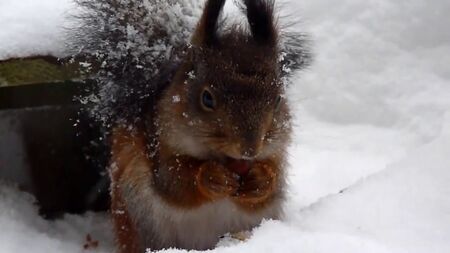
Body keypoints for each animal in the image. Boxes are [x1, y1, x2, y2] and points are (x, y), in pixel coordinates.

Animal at [74, 0, 310, 251]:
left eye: (278, 99)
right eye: (207, 98)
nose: (249, 150)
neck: (221, 157)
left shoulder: (276, 151)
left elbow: (271, 183)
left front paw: (259, 180)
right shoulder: (159, 147)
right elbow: (175, 182)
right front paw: (212, 177)